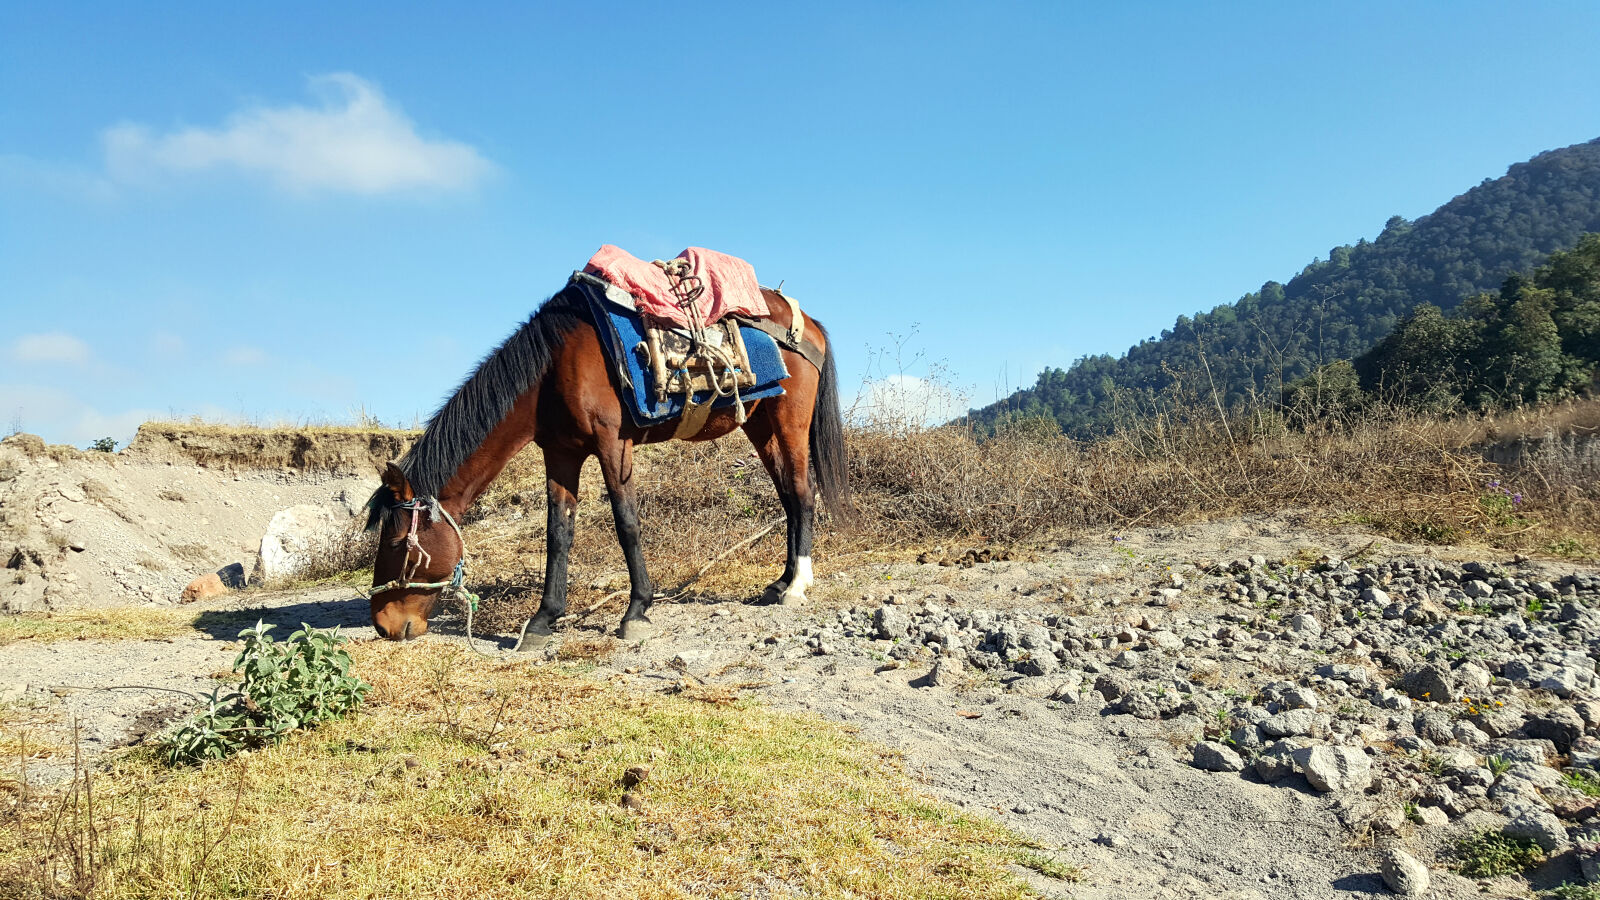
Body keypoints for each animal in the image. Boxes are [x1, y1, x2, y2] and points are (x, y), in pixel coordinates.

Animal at [364, 282, 848, 649]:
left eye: (397, 544)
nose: (384, 626)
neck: (553, 368)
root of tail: (808, 323)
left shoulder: (613, 444)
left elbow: (626, 522)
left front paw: (636, 611)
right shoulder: (561, 454)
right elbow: (558, 533)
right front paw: (544, 618)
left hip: (789, 421)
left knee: (802, 493)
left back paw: (797, 586)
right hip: (761, 425)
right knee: (788, 497)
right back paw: (781, 582)